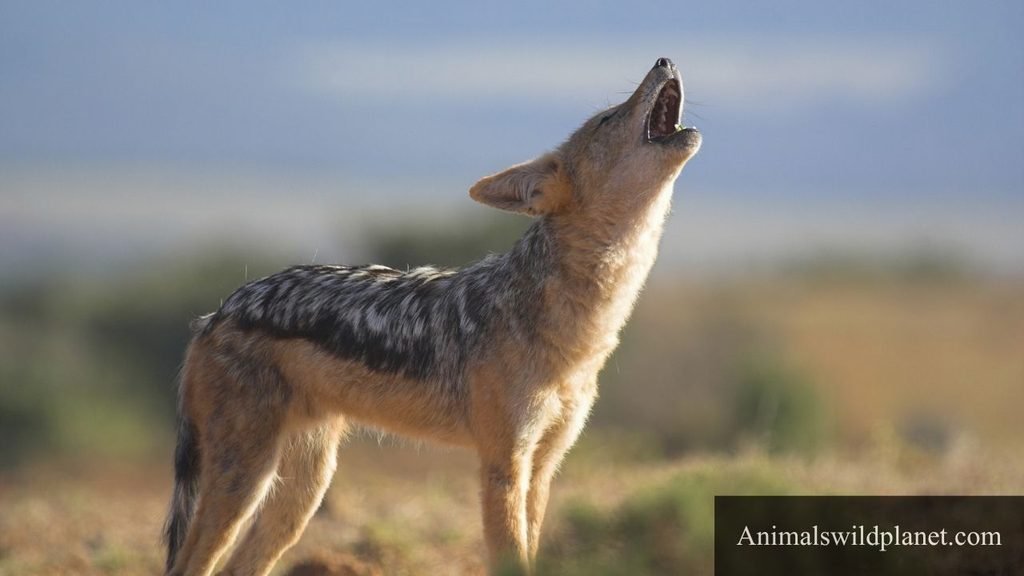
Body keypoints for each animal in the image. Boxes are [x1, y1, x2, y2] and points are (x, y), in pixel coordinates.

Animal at [163, 57, 701, 575]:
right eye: (609, 118)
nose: (664, 58)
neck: (577, 334)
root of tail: (216, 314)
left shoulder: (544, 467)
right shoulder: (503, 466)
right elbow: (512, 559)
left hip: (301, 495)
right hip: (246, 481)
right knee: (189, 565)